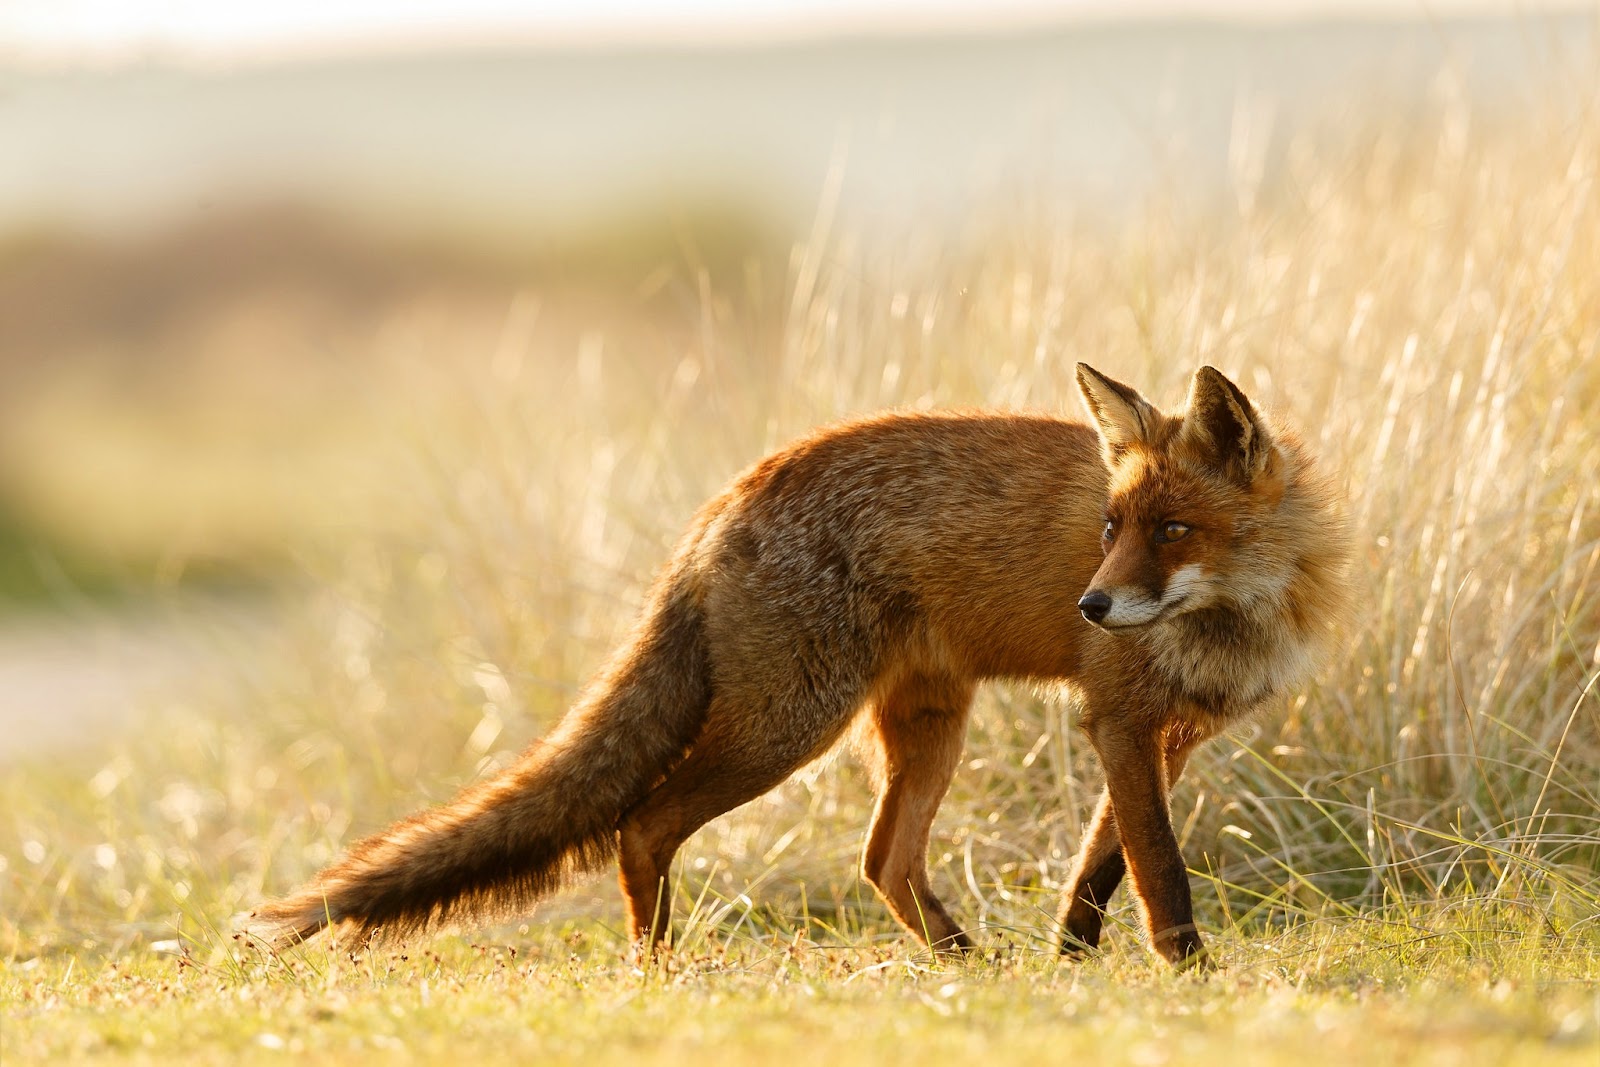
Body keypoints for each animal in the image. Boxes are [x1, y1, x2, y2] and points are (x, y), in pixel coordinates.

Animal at [252, 364, 1350, 966]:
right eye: (1111, 528)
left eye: (1172, 529)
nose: (1092, 605)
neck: (1238, 614)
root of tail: (723, 501)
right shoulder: (1119, 720)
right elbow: (1159, 866)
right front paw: (1186, 973)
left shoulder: (1170, 733)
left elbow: (1098, 870)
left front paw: (1070, 966)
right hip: (789, 725)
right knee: (644, 822)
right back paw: (658, 966)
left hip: (922, 727)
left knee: (883, 859)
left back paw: (967, 966)